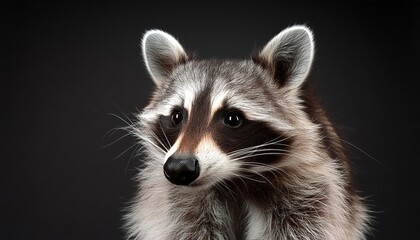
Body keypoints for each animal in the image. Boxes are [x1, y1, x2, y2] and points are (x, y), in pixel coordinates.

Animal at [124, 25, 370, 239]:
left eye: (233, 118)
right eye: (177, 116)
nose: (179, 168)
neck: (234, 178)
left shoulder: (311, 185)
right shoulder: (175, 199)